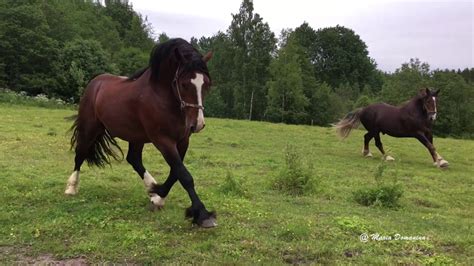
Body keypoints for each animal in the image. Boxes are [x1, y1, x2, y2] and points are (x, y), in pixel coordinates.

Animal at [64, 38, 218, 228]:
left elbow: (176, 172)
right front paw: (202, 214)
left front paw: (158, 196)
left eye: (206, 84)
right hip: (90, 128)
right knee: (80, 154)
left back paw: (151, 187)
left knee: (134, 159)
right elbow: (184, 175)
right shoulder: (163, 140)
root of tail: (95, 82)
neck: (162, 96)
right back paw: (71, 187)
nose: (197, 124)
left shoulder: (182, 141)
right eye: (184, 84)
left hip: (135, 136)